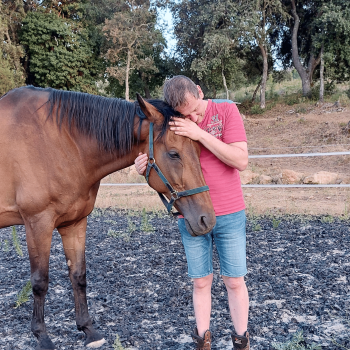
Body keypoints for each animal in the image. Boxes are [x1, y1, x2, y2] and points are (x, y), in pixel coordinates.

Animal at [0, 85, 216, 350]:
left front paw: (88, 330)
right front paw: (42, 336)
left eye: (199, 149)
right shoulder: (37, 223)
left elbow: (78, 275)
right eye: (174, 154)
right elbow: (40, 282)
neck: (61, 143)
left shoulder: (74, 223)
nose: (207, 220)